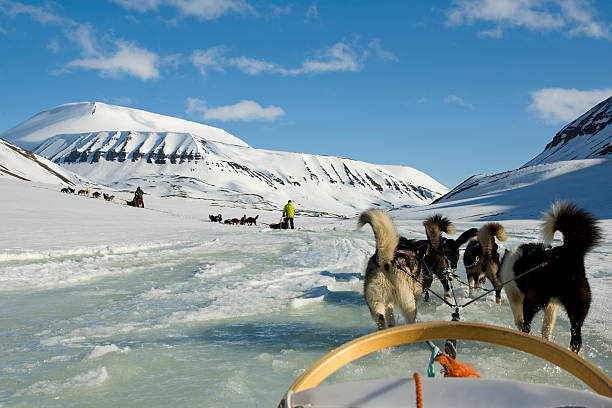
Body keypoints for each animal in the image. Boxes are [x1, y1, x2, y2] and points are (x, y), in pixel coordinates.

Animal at [502, 202, 604, 352]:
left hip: (532, 298)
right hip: (577, 303)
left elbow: (518, 320)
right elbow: (547, 327)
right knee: (576, 334)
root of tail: (568, 252)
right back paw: (575, 349)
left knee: (527, 323)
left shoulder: (514, 295)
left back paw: (527, 336)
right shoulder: (551, 306)